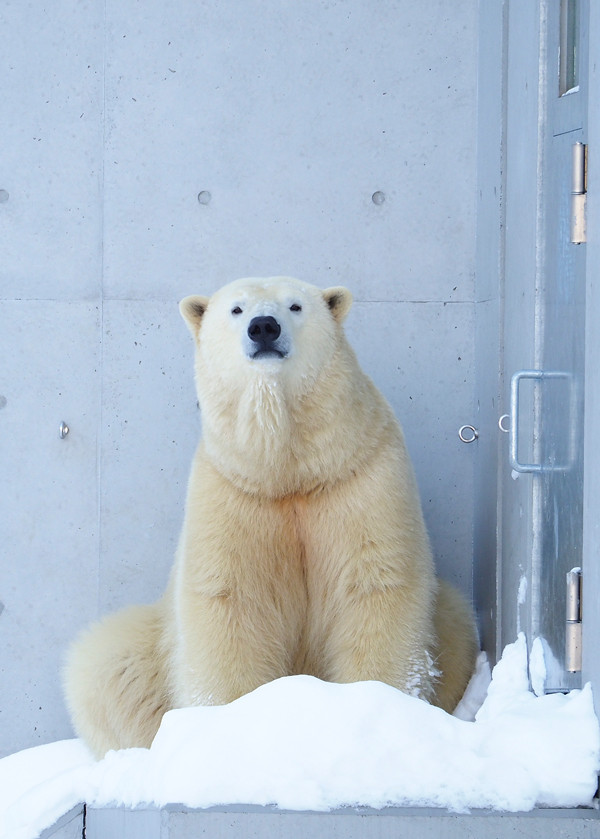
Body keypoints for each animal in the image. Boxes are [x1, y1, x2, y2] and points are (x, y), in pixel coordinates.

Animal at [64, 278, 478, 756]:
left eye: (295, 305)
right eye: (236, 309)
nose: (264, 326)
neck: (288, 472)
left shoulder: (360, 477)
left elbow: (375, 586)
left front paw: (376, 708)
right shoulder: (233, 492)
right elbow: (231, 600)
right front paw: (232, 725)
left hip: (448, 616)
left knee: (456, 621)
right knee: (103, 661)